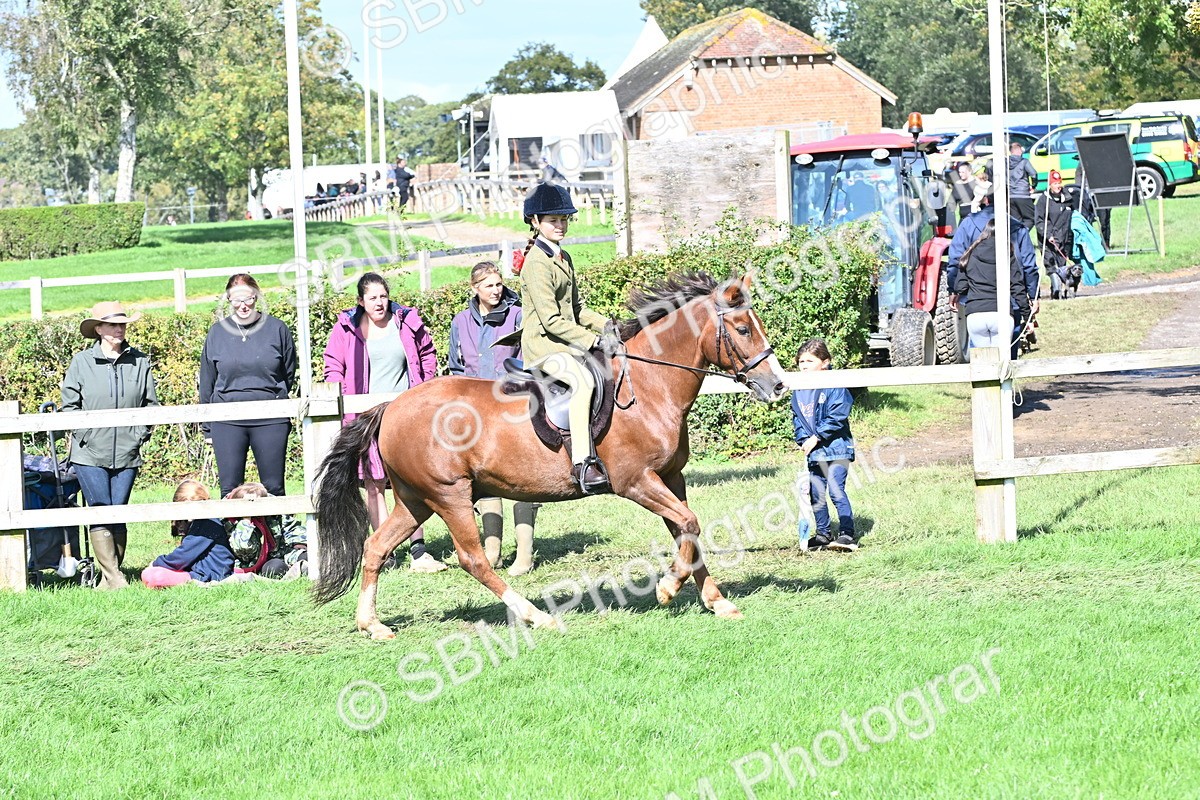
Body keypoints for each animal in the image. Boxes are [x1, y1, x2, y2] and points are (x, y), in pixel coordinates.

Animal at [313, 272, 787, 639]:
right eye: (743, 330)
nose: (779, 385)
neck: (650, 386)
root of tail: (391, 406)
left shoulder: (671, 477)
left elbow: (686, 531)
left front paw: (716, 601)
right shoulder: (636, 481)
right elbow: (689, 523)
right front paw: (668, 588)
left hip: (415, 499)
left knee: (375, 546)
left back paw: (372, 625)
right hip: (449, 495)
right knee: (473, 559)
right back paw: (537, 617)